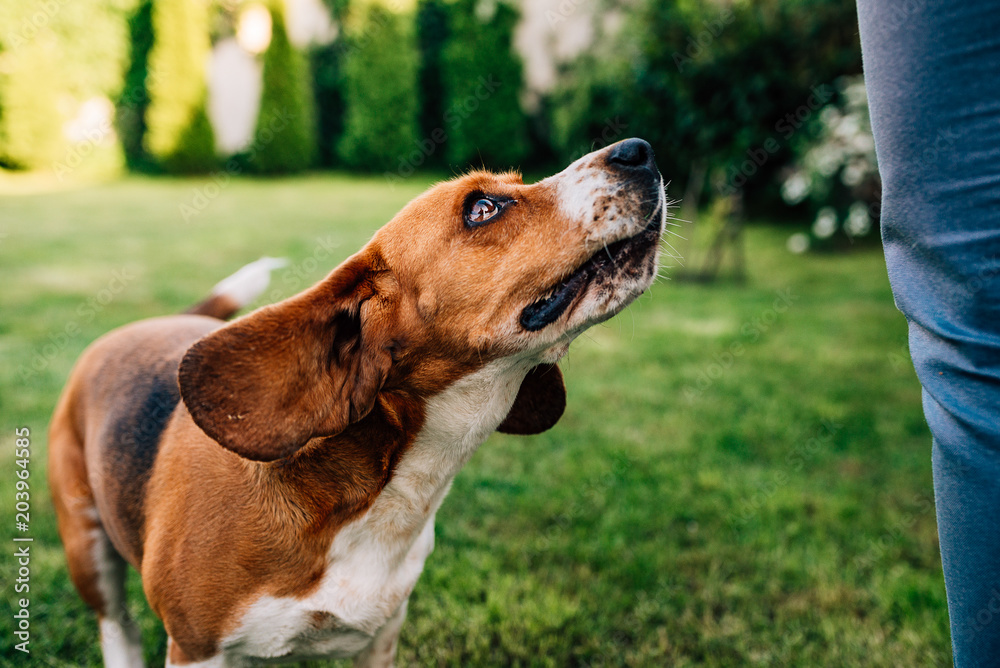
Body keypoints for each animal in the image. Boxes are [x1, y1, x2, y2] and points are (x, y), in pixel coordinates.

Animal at [50, 138, 668, 664]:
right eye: (482, 208)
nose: (640, 150)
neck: (393, 492)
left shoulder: (380, 638)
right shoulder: (198, 649)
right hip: (87, 547)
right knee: (117, 625)